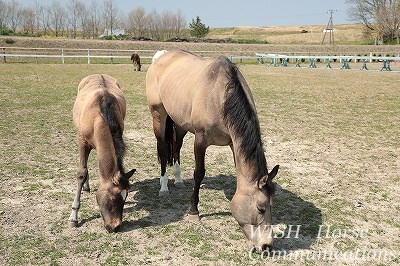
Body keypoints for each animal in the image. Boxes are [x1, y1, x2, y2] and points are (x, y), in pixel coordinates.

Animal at [69, 74, 137, 232]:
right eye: (113, 197)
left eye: (125, 198)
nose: (115, 226)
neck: (99, 117)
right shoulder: (82, 142)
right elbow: (81, 173)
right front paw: (74, 216)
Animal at [145, 50, 280, 251]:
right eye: (260, 208)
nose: (266, 246)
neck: (220, 96)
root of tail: (160, 56)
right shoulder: (200, 141)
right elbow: (199, 173)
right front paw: (194, 211)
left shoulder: (233, 144)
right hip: (158, 116)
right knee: (163, 150)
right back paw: (164, 187)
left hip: (180, 122)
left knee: (176, 147)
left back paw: (178, 180)